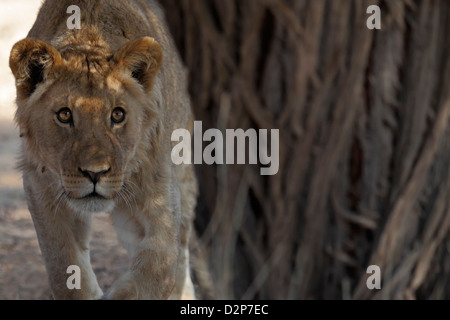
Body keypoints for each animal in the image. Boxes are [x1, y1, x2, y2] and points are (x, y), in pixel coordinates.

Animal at [8, 0, 197, 300]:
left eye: (118, 115)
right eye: (64, 115)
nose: (95, 173)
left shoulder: (162, 196)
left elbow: (158, 271)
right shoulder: (40, 186)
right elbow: (63, 267)